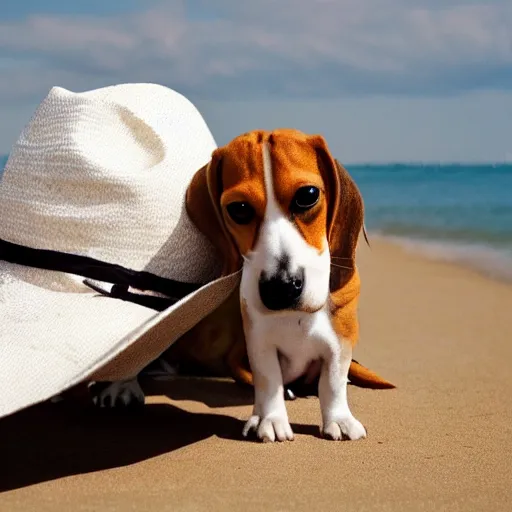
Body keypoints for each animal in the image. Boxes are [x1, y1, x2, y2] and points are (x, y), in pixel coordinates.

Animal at [184, 127, 392, 440]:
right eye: (238, 209)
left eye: (307, 195)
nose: (280, 287)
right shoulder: (259, 340)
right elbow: (268, 380)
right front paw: (270, 418)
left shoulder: (340, 340)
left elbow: (332, 381)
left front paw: (340, 419)